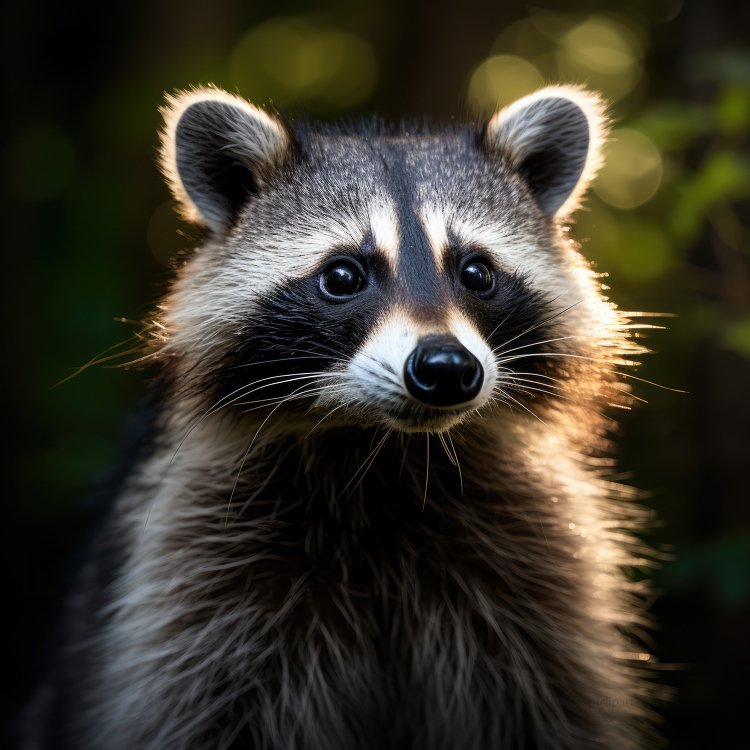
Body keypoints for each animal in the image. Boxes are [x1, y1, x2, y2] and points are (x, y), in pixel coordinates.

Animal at [22, 85, 656, 748]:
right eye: (344, 274)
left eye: (477, 272)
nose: (446, 368)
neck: (384, 456)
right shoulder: (196, 574)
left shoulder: (536, 574)